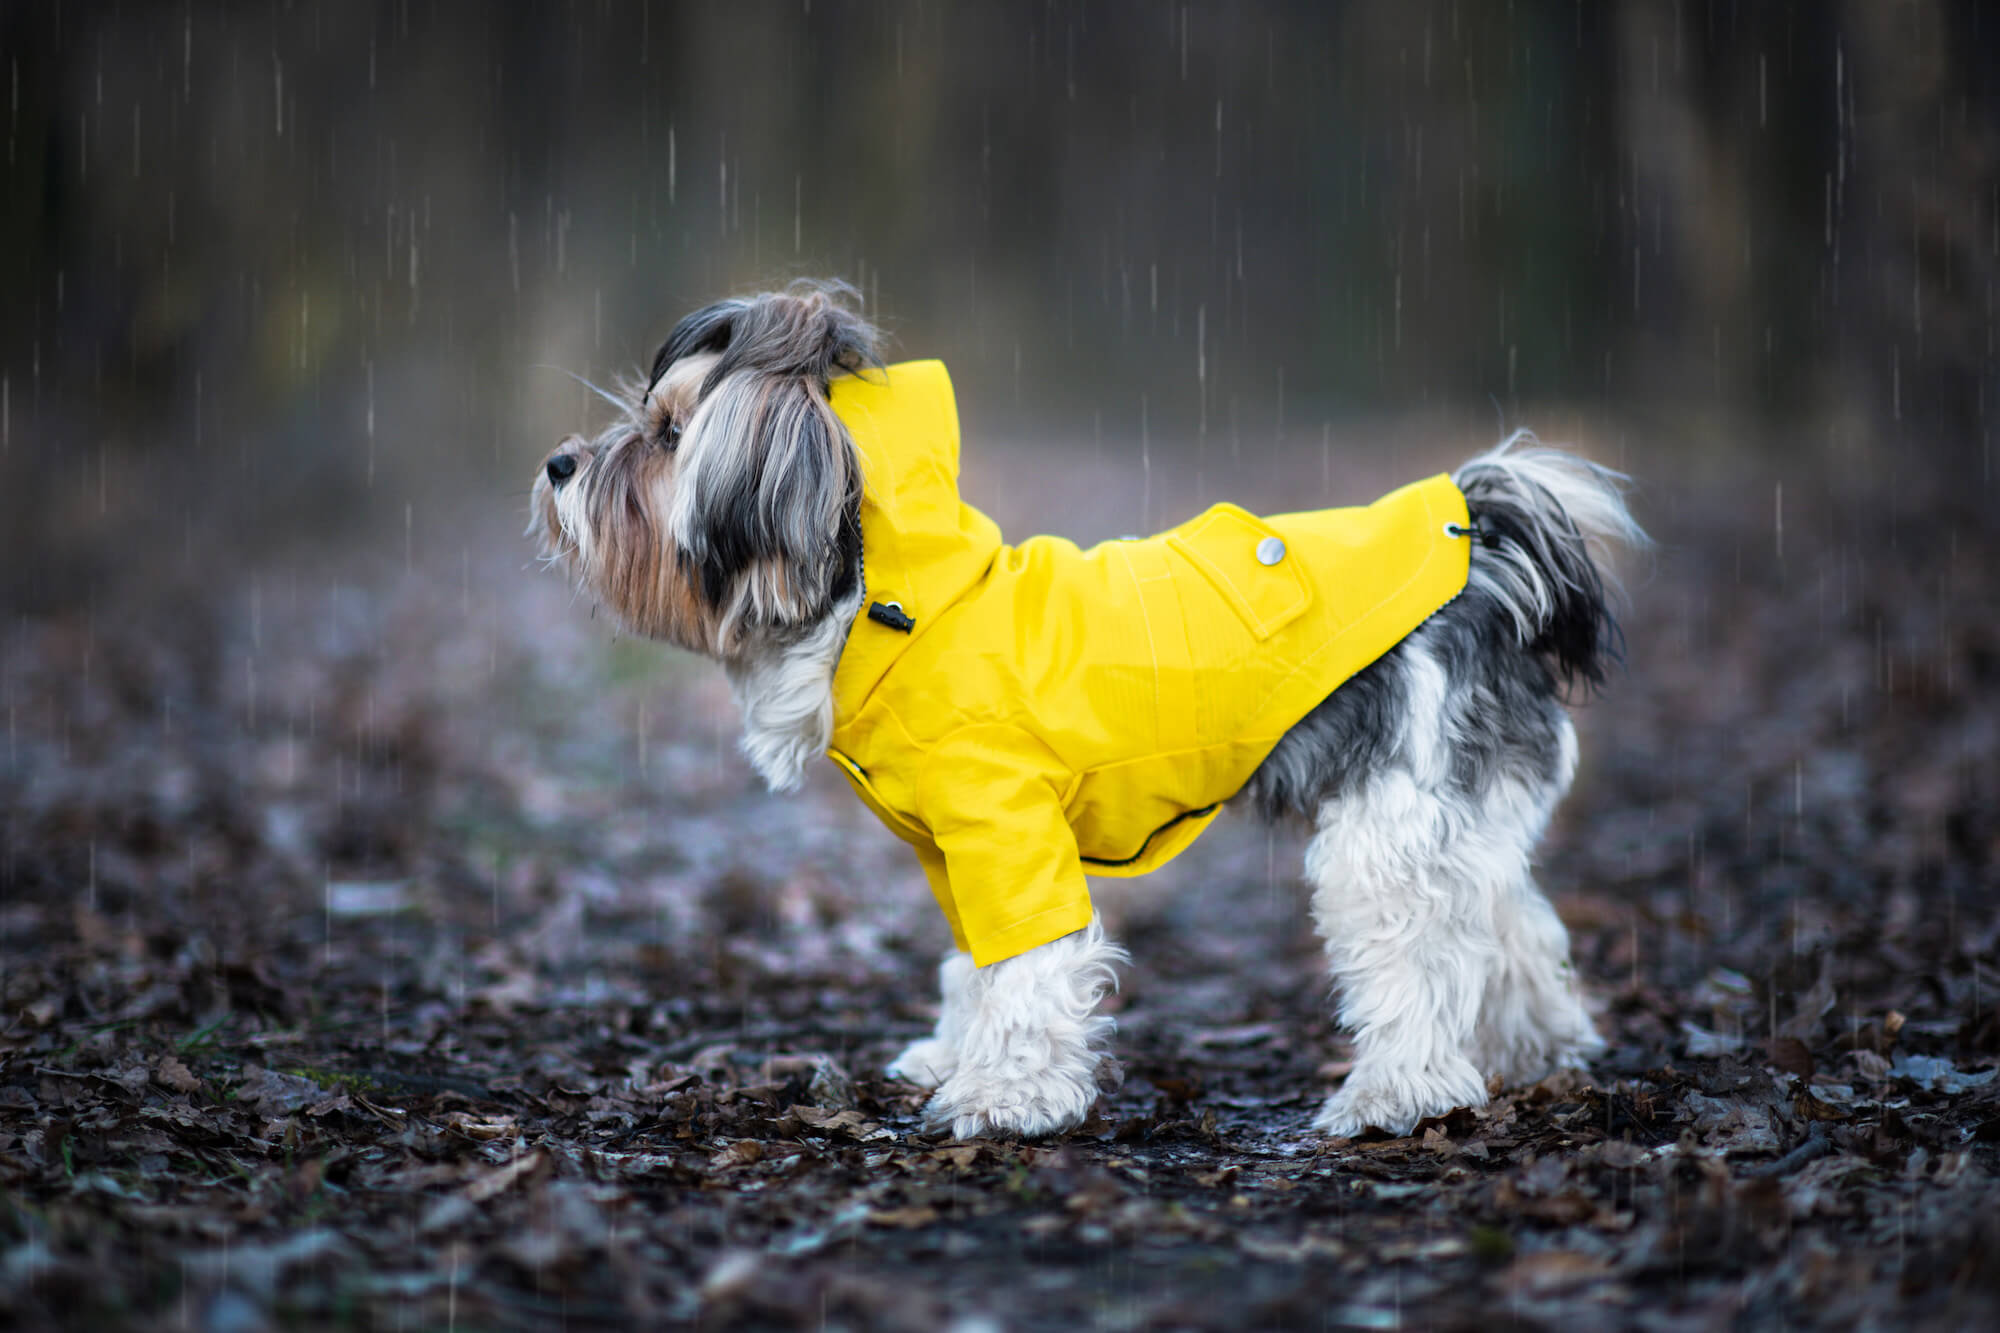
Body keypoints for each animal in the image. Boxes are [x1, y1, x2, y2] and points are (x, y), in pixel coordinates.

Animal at [532, 278, 1640, 1128]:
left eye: (668, 436)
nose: (557, 462)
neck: (887, 604)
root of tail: (1482, 551)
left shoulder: (1007, 830)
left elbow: (1025, 969)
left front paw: (1006, 1096)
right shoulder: (956, 854)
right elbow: (972, 965)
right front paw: (954, 1055)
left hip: (1385, 832)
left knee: (1423, 955)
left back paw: (1399, 1093)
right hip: (1460, 818)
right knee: (1513, 922)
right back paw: (1538, 1048)